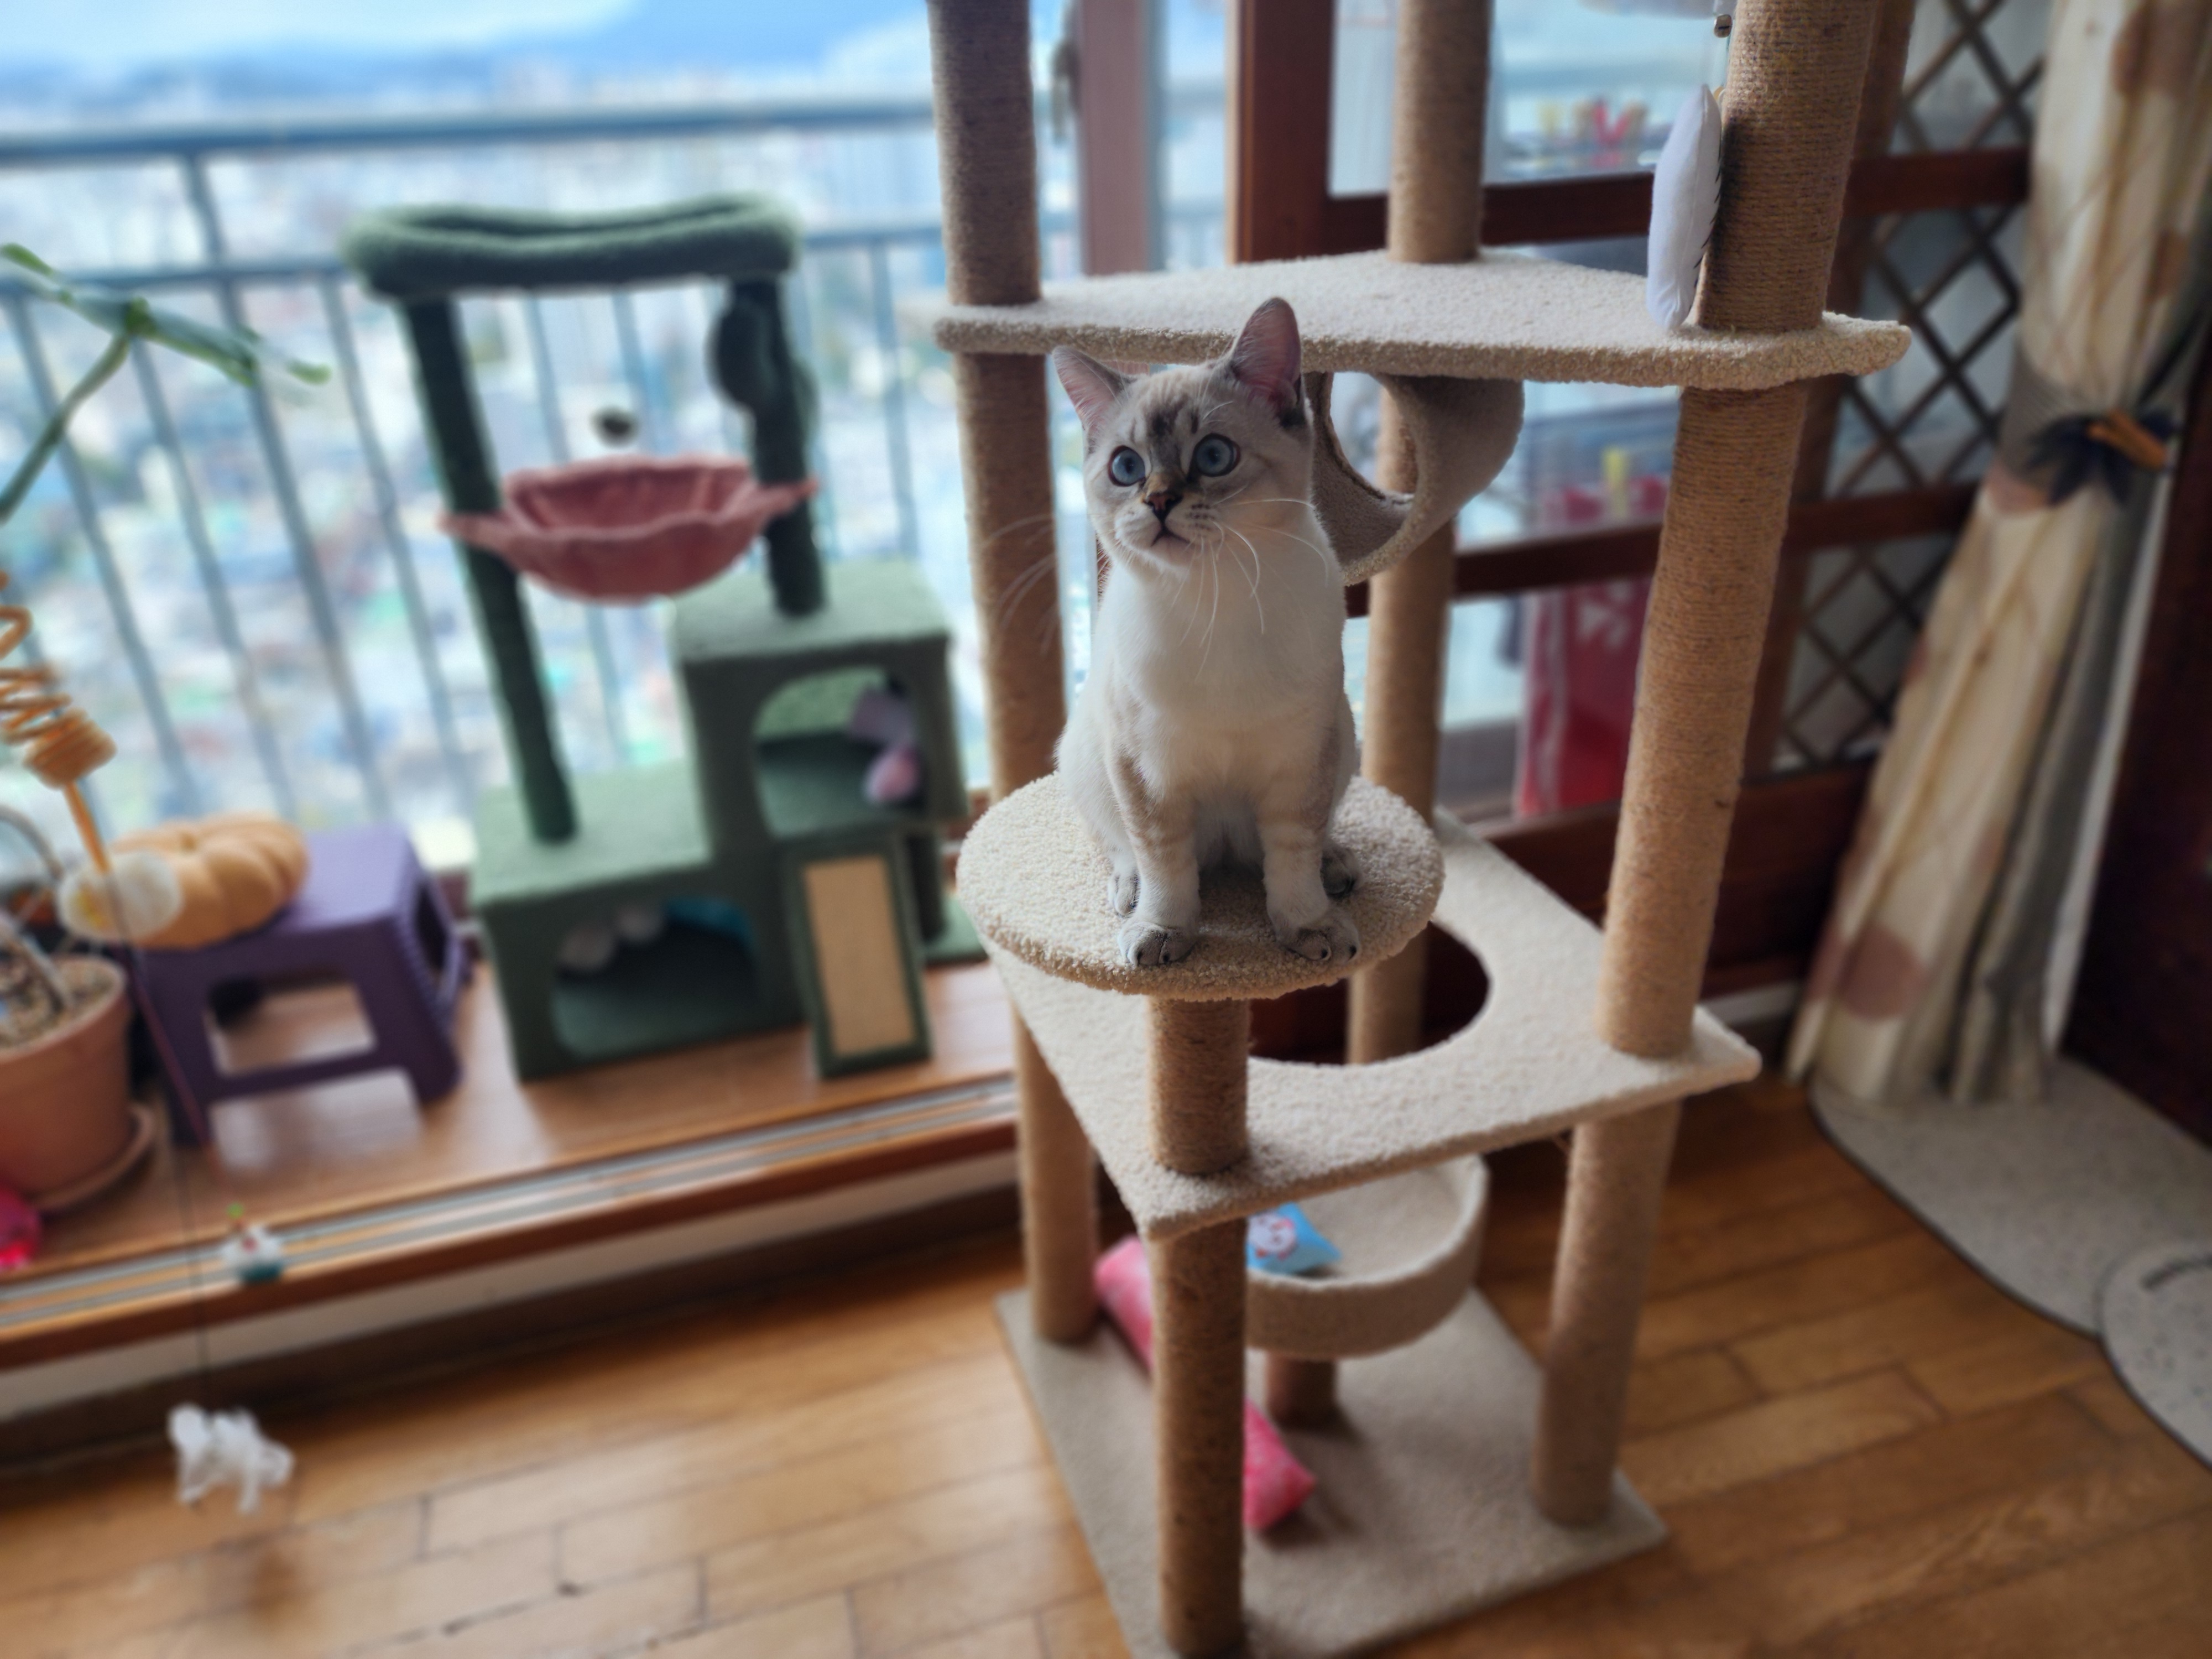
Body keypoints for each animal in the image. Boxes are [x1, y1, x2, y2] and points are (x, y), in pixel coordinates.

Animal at [1052, 298, 1361, 969]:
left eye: (1214, 457)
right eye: (1127, 468)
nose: (1159, 501)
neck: (1215, 603)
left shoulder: (1301, 759)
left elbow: (1293, 856)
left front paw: (1309, 929)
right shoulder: (1146, 772)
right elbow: (1164, 866)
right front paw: (1163, 933)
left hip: (1344, 740)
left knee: (1305, 842)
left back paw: (1337, 869)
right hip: (1087, 755)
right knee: (1124, 848)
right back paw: (1129, 898)